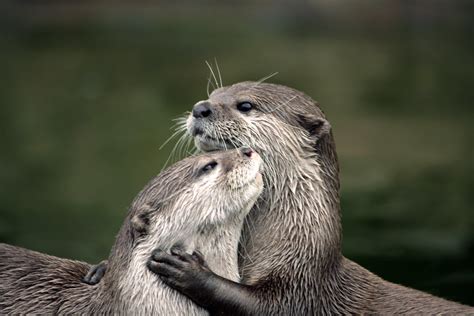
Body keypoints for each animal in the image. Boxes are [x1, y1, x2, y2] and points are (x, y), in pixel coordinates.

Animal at [146, 82, 472, 314]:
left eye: (245, 105)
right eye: (212, 95)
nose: (200, 108)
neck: (302, 240)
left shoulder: (301, 287)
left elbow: (264, 305)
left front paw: (190, 271)